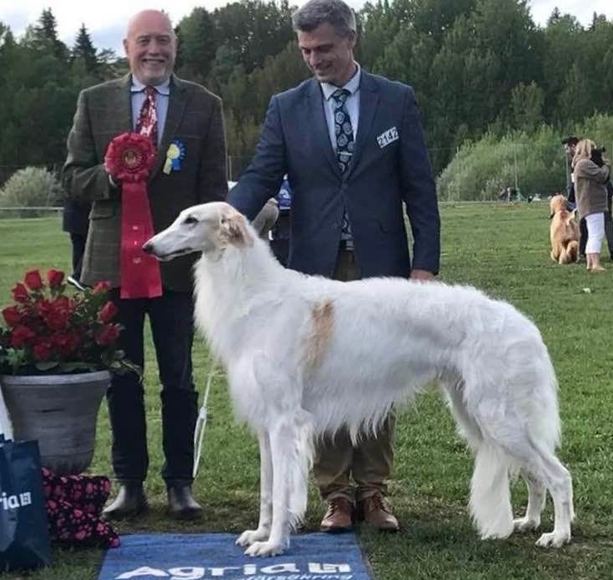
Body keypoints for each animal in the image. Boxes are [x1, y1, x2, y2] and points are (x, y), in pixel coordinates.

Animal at [143, 201, 572, 556]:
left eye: (191, 220)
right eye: (180, 216)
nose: (147, 247)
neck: (258, 296)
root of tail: (523, 324)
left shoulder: (285, 422)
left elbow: (282, 494)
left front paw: (274, 544)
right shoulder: (266, 425)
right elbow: (267, 490)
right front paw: (260, 534)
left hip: (498, 417)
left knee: (559, 475)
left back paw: (558, 534)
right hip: (480, 415)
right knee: (535, 475)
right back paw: (529, 521)